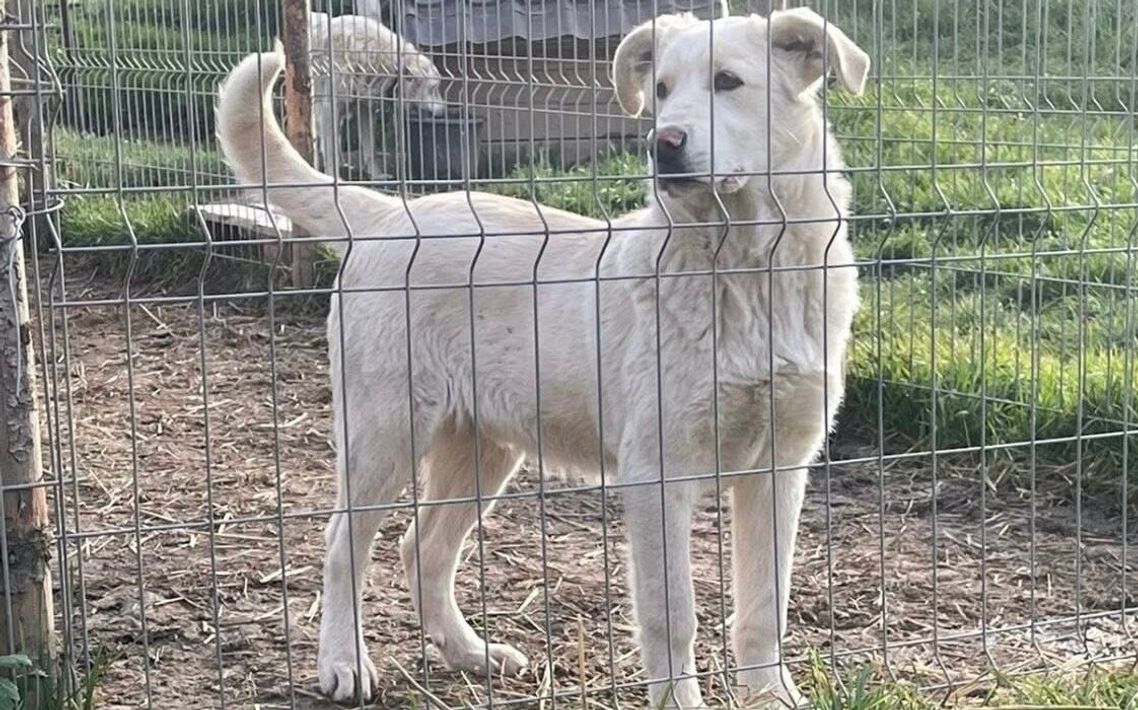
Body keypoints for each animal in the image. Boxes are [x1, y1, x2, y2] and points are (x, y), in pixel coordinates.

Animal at [309, 12, 445, 179]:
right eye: (433, 89)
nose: (444, 110)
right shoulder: (330, 107)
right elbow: (329, 147)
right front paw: (332, 177)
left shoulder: (364, 108)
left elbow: (370, 148)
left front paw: (376, 175)